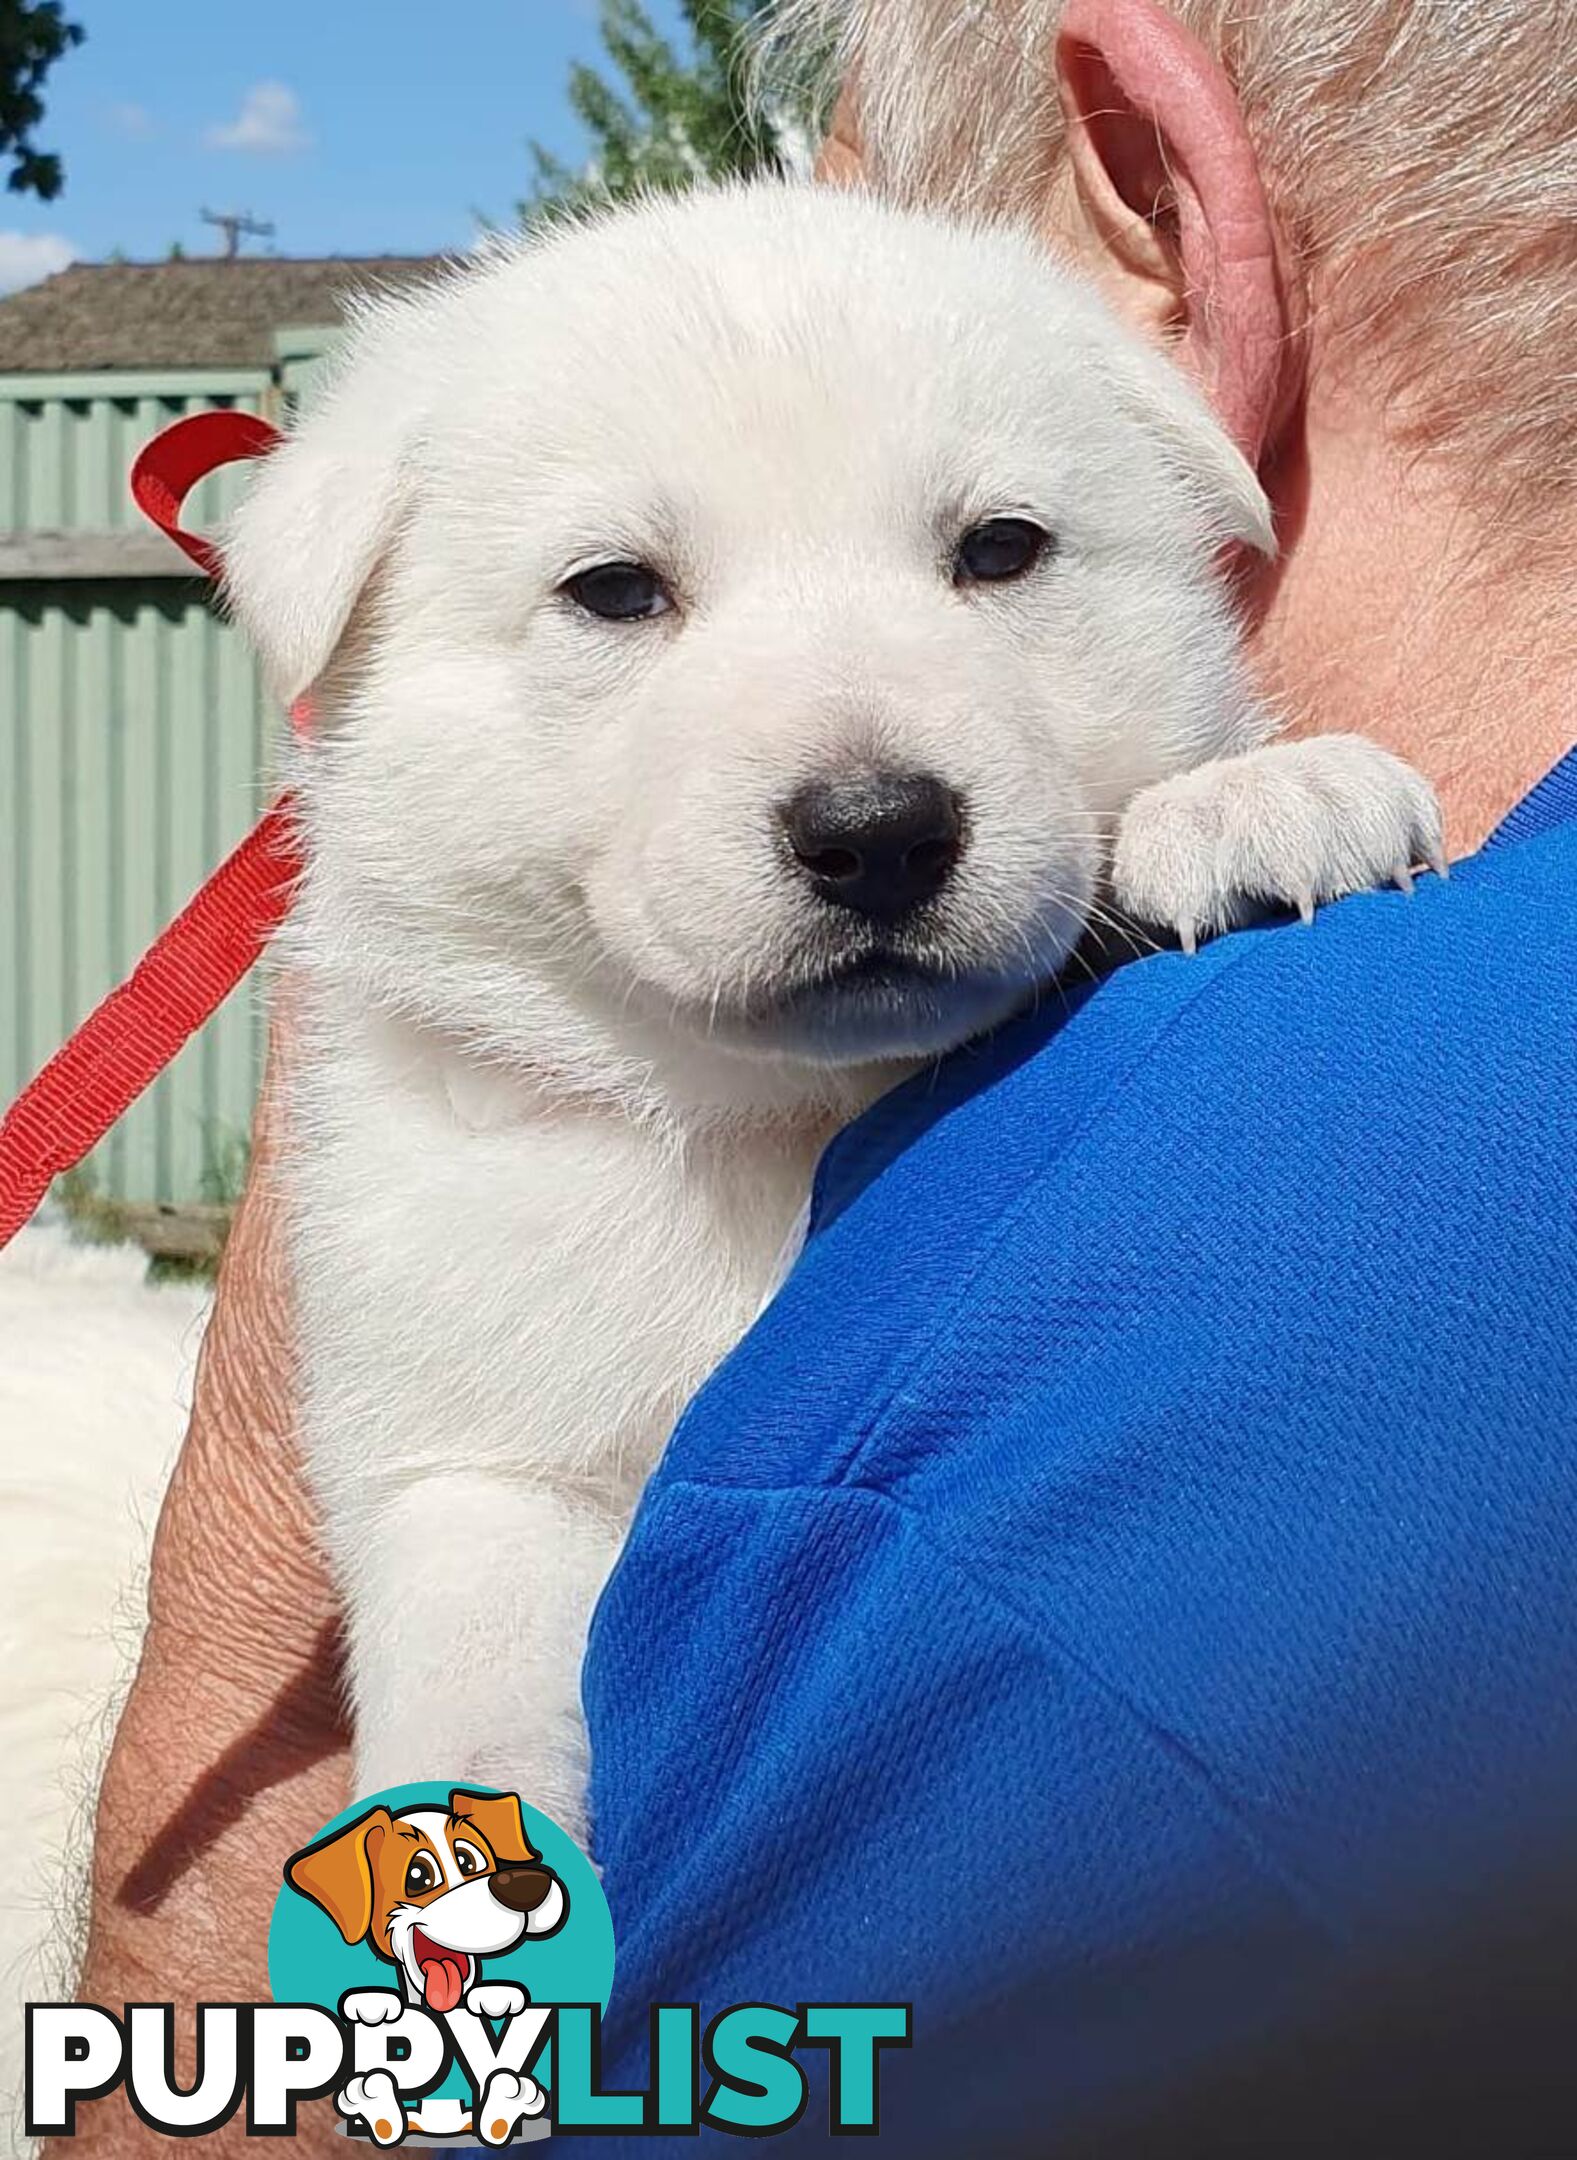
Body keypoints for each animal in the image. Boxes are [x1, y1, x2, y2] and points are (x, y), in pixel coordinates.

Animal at [221, 190, 1434, 1840]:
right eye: (614, 589)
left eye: (1001, 550)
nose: (878, 832)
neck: (764, 1120)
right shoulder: (458, 1430)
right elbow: (470, 1662)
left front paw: (1256, 796)